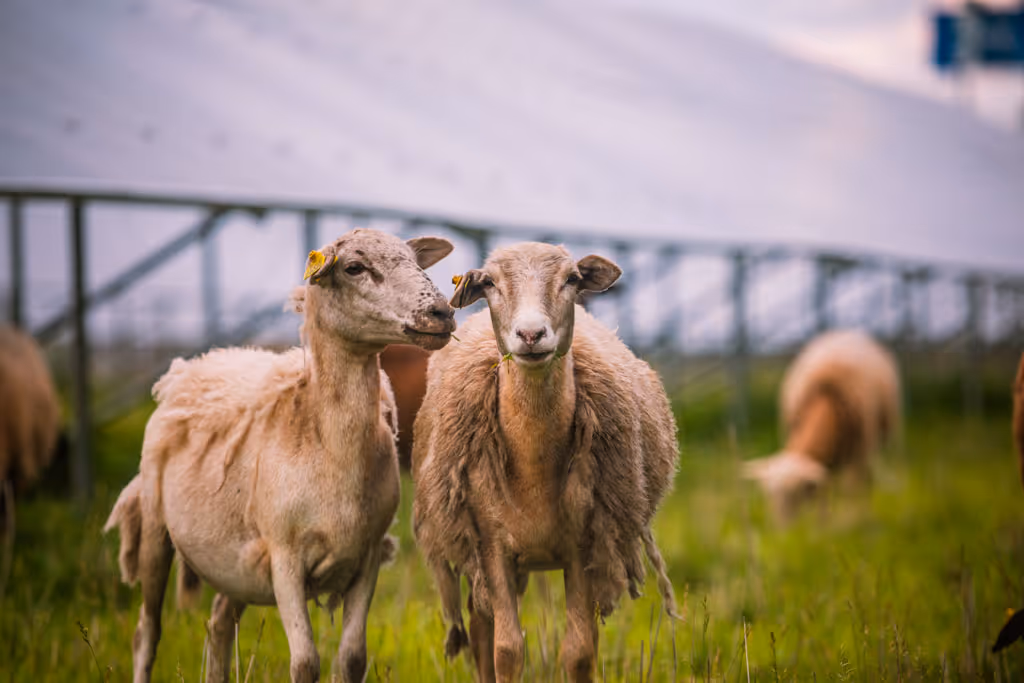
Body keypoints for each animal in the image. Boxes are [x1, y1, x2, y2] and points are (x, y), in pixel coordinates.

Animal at [103, 229, 456, 683]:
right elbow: (305, 662)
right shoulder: (285, 559)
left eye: (415, 262)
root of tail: (197, 363)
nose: (442, 312)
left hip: (235, 561)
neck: (329, 448)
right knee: (146, 634)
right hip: (154, 528)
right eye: (354, 267)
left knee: (218, 625)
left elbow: (352, 658)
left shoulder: (367, 556)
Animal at [412, 242, 678, 683]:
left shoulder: (583, 545)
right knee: (482, 628)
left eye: (572, 279)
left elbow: (579, 652)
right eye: (489, 283)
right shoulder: (491, 546)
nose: (531, 334)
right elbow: (506, 650)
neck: (532, 465)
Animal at [742, 329, 901, 520]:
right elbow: (822, 498)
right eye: (769, 495)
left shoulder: (859, 453)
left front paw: (860, 518)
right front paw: (821, 526)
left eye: (795, 494)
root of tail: (846, 332)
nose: (783, 526)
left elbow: (854, 489)